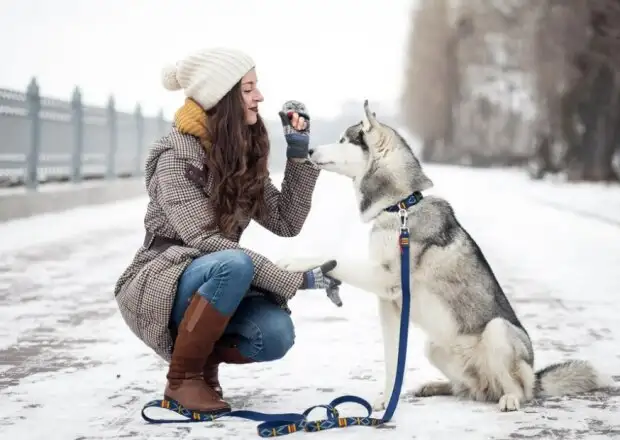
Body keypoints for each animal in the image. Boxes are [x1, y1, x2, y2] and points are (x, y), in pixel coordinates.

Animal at [278, 99, 616, 412]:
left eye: (343, 140)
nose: (310, 151)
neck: (400, 207)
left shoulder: (385, 277)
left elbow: (332, 254)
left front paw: (291, 261)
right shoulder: (388, 302)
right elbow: (391, 359)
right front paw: (387, 400)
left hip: (498, 332)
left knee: (517, 390)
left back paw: (509, 399)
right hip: (434, 347)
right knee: (467, 389)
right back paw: (435, 386)